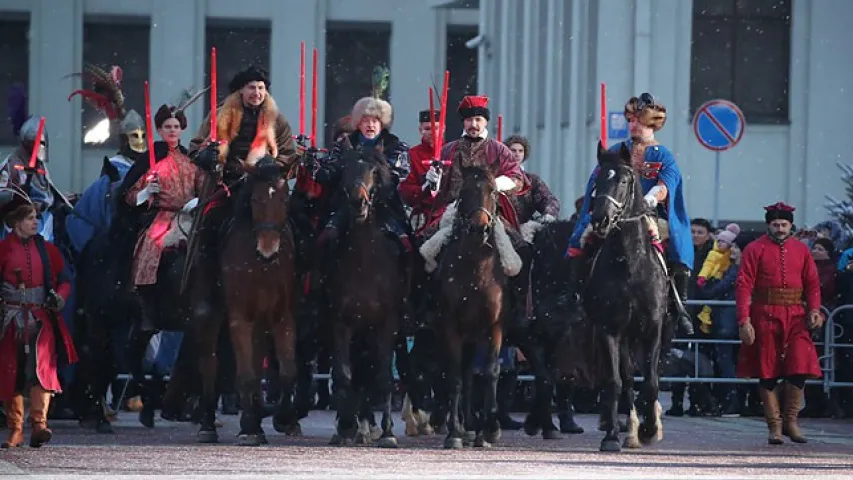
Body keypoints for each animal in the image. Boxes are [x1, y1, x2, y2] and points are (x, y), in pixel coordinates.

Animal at [193, 155, 300, 446]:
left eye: (285, 199)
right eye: (256, 200)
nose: (268, 250)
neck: (260, 265)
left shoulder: (281, 315)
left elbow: (286, 372)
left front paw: (282, 418)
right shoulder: (239, 316)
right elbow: (245, 374)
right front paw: (249, 428)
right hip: (211, 313)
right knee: (209, 362)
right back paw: (208, 425)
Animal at [322, 146, 410, 446]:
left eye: (375, 170)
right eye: (344, 167)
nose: (358, 202)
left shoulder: (387, 323)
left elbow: (383, 376)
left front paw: (388, 432)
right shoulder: (340, 321)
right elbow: (344, 374)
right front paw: (345, 427)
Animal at [432, 166, 506, 450]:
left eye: (493, 191)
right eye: (464, 191)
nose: (478, 228)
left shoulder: (494, 326)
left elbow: (491, 372)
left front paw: (489, 430)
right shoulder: (450, 325)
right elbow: (454, 376)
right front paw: (454, 433)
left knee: (471, 373)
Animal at [580, 142, 672, 450]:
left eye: (623, 180)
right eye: (596, 180)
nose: (600, 219)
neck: (629, 266)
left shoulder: (653, 327)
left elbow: (652, 381)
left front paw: (650, 428)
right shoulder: (610, 329)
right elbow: (616, 381)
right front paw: (612, 436)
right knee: (628, 378)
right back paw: (628, 428)